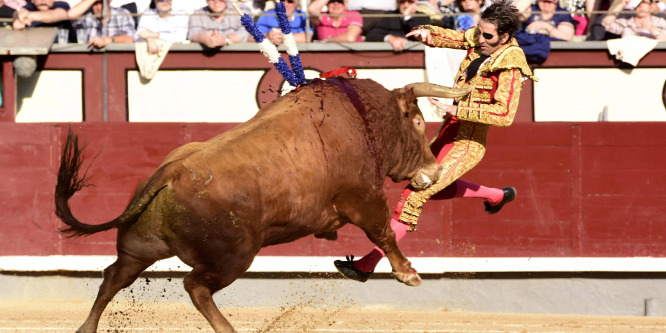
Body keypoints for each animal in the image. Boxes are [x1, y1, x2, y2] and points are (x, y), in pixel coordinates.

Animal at [57, 76, 470, 330]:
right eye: (418, 123)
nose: (435, 170)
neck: (362, 118)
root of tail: (171, 171)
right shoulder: (364, 197)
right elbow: (384, 233)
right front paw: (409, 274)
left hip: (141, 247)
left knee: (114, 277)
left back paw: (86, 328)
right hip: (234, 256)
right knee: (196, 287)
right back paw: (228, 329)